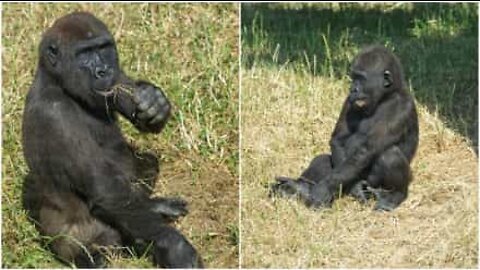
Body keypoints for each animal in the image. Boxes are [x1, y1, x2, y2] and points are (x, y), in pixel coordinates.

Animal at [21, 11, 202, 266]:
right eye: (84, 54)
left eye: (104, 48)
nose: (103, 71)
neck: (56, 83)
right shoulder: (54, 114)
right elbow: (105, 192)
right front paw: (175, 246)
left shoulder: (113, 78)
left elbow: (126, 91)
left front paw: (154, 101)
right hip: (69, 244)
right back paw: (93, 258)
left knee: (142, 171)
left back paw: (154, 206)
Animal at [272, 46, 418, 211]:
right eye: (353, 77)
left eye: (361, 78)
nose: (353, 88)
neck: (386, 96)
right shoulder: (349, 101)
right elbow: (338, 140)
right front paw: (350, 188)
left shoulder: (402, 107)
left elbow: (366, 150)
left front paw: (323, 189)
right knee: (324, 160)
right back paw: (298, 187)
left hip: (374, 184)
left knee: (389, 155)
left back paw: (395, 195)